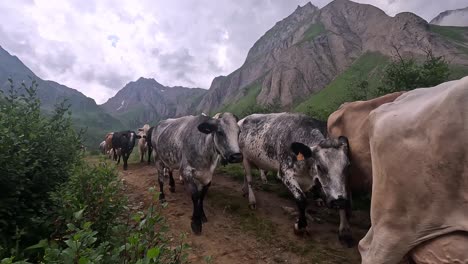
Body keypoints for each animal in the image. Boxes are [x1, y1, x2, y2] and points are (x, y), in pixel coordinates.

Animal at [238, 112, 352, 244]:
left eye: (347, 165)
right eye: (319, 166)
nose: (340, 201)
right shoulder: (285, 173)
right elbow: (301, 199)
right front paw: (300, 226)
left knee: (245, 175)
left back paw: (244, 190)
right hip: (245, 157)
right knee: (249, 179)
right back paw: (252, 200)